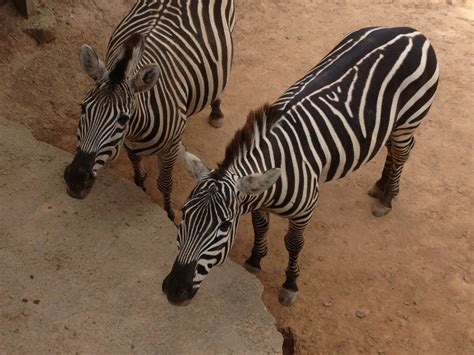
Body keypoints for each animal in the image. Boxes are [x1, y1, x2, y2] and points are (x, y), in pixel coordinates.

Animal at [64, 0, 237, 221]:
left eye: (123, 119)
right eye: (83, 107)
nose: (75, 180)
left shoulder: (171, 148)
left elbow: (165, 184)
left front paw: (169, 214)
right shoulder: (128, 142)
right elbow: (135, 162)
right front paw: (140, 184)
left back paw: (216, 111)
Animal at [162, 27, 436, 306]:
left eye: (225, 226)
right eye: (183, 212)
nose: (174, 290)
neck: (277, 168)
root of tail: (411, 32)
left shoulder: (305, 210)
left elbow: (293, 244)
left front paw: (290, 284)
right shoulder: (259, 201)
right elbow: (261, 228)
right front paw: (255, 260)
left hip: (410, 118)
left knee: (403, 152)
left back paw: (387, 197)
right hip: (393, 120)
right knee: (393, 147)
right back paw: (380, 185)